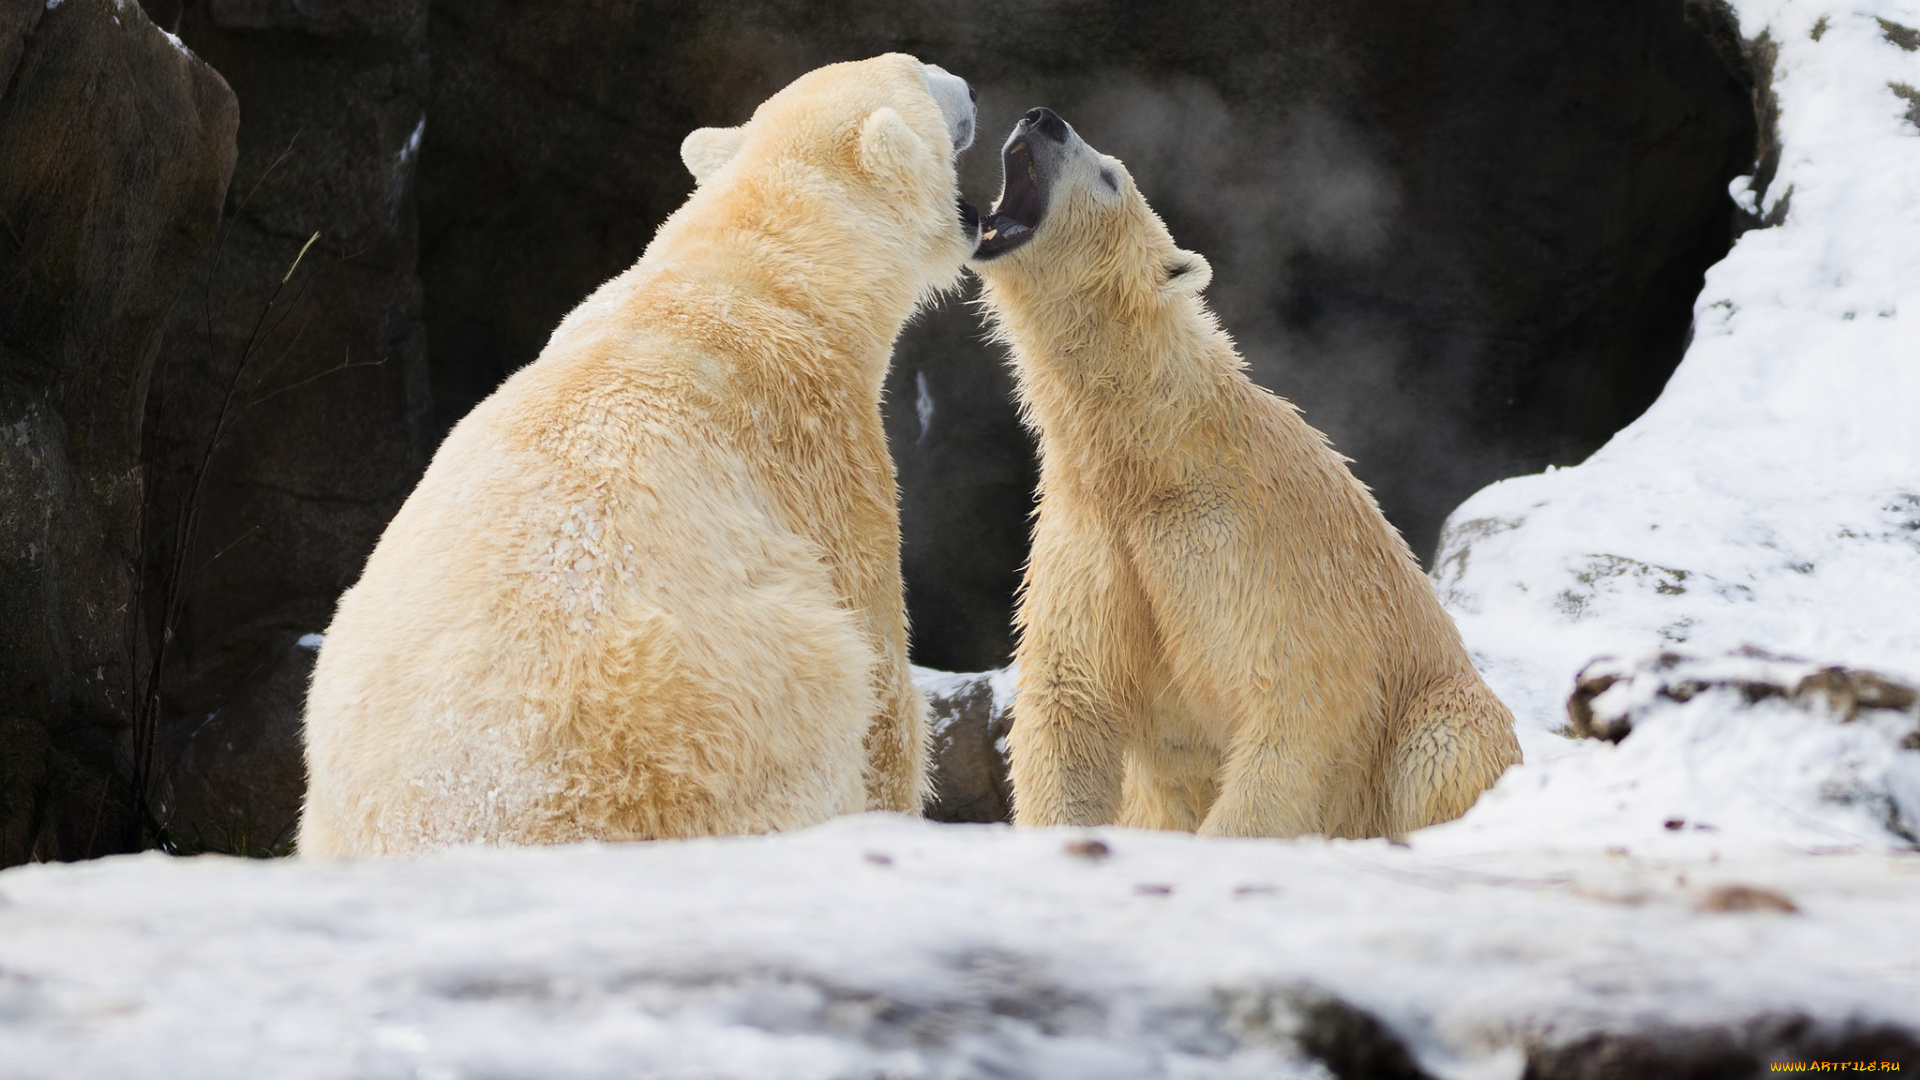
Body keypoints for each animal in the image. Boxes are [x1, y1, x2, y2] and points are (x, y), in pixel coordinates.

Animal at [299, 54, 990, 853]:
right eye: (916, 71)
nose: (971, 88)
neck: (762, 273)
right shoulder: (819, 449)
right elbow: (879, 679)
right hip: (708, 736)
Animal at [967, 107, 1520, 834]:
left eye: (1111, 177)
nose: (1043, 118)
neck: (1154, 454)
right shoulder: (1092, 541)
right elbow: (1071, 704)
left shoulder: (1244, 545)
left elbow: (1294, 702)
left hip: (1436, 705)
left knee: (1446, 743)